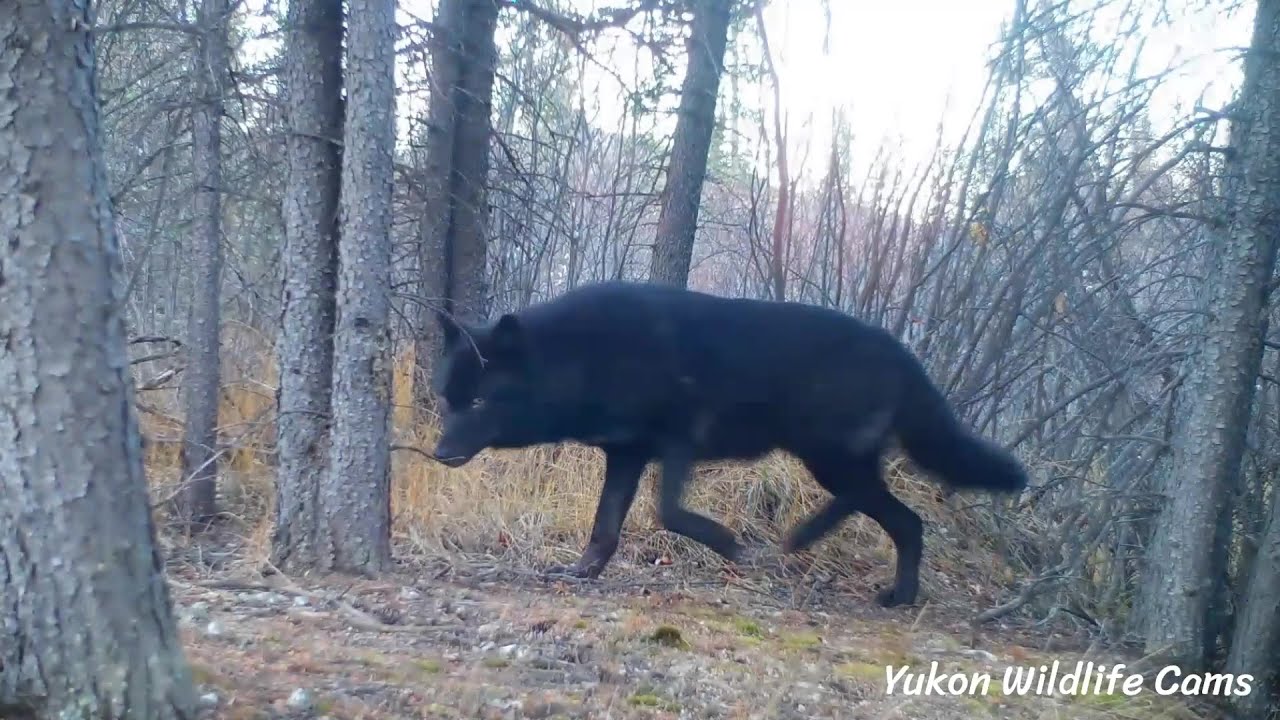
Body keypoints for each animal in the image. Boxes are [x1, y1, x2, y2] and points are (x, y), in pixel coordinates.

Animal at [429, 281, 1027, 606]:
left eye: (477, 402)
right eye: (447, 399)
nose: (437, 455)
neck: (582, 356)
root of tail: (904, 354)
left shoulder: (676, 443)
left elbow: (668, 513)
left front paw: (729, 545)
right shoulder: (626, 454)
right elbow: (605, 528)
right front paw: (580, 574)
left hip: (827, 458)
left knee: (880, 508)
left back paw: (806, 538)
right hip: (834, 459)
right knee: (906, 521)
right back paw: (898, 595)